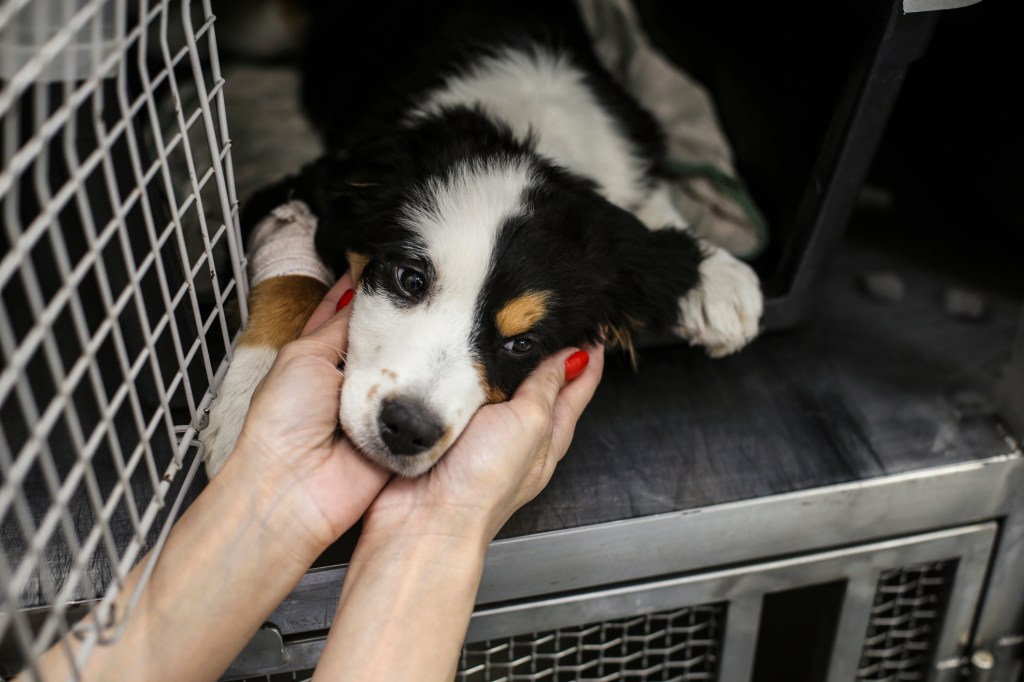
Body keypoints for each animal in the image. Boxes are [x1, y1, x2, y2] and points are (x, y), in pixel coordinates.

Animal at [201, 1, 761, 477]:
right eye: (409, 279)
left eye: (521, 344)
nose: (407, 429)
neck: (520, 130)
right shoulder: (300, 184)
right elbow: (292, 281)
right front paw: (251, 405)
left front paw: (718, 278)